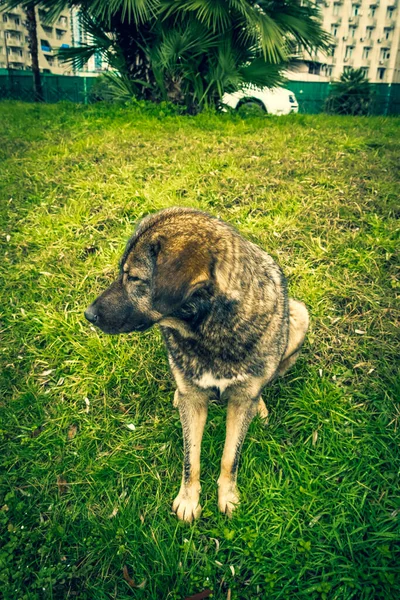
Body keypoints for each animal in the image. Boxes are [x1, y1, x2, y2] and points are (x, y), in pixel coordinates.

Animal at [84, 209, 310, 524]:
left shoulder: (241, 401)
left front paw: (228, 496)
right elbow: (191, 457)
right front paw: (189, 499)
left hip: (299, 316)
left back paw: (261, 404)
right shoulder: (194, 403)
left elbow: (231, 456)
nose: (88, 314)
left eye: (134, 278)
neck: (211, 332)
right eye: (122, 273)